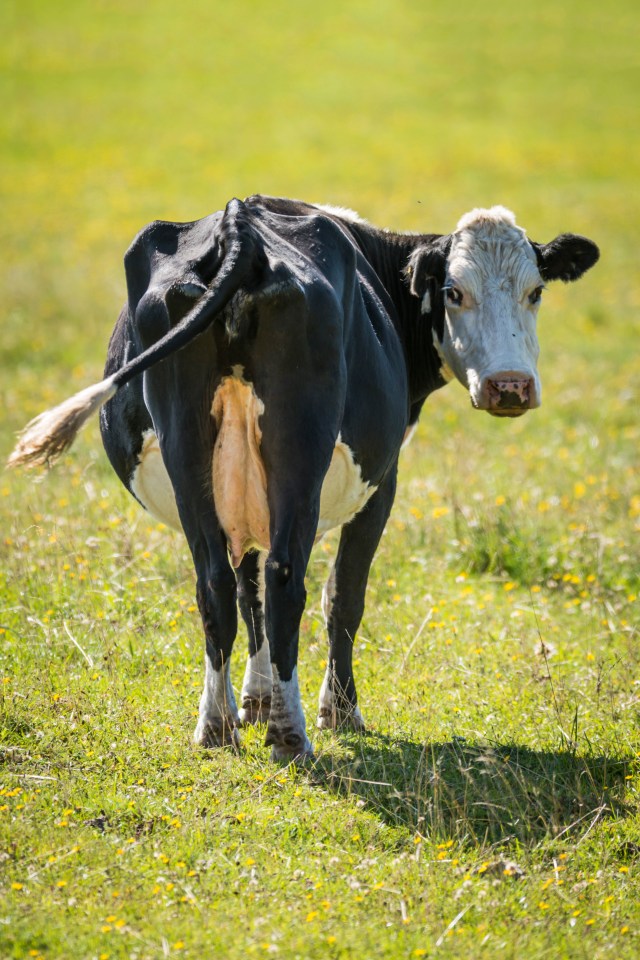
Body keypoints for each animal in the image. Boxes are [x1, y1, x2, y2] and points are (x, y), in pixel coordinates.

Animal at [8, 197, 600, 764]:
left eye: (536, 291)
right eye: (454, 292)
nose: (511, 386)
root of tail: (238, 225)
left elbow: (248, 592)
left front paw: (255, 701)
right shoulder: (381, 480)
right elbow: (342, 595)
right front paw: (336, 711)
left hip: (187, 443)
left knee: (216, 584)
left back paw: (216, 727)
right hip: (300, 445)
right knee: (287, 580)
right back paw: (291, 735)